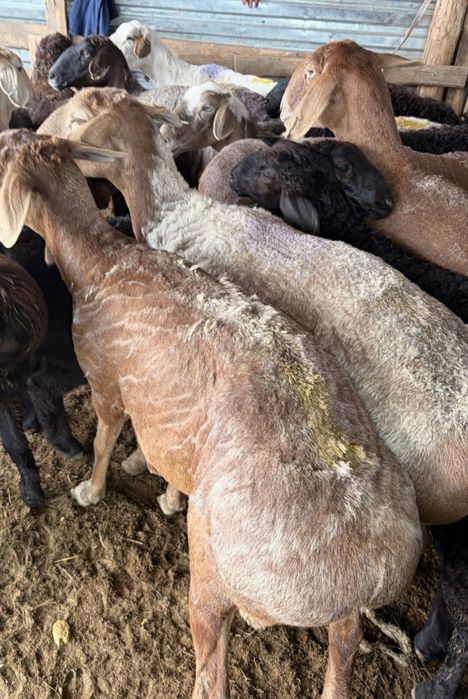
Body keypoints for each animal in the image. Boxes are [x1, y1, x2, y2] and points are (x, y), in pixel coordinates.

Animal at [0, 128, 423, 699]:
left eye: (4, 158)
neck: (97, 259)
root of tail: (369, 572)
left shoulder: (107, 382)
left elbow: (106, 438)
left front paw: (91, 489)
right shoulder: (169, 416)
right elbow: (165, 454)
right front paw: (162, 489)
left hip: (214, 569)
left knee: (212, 675)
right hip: (342, 622)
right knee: (341, 661)